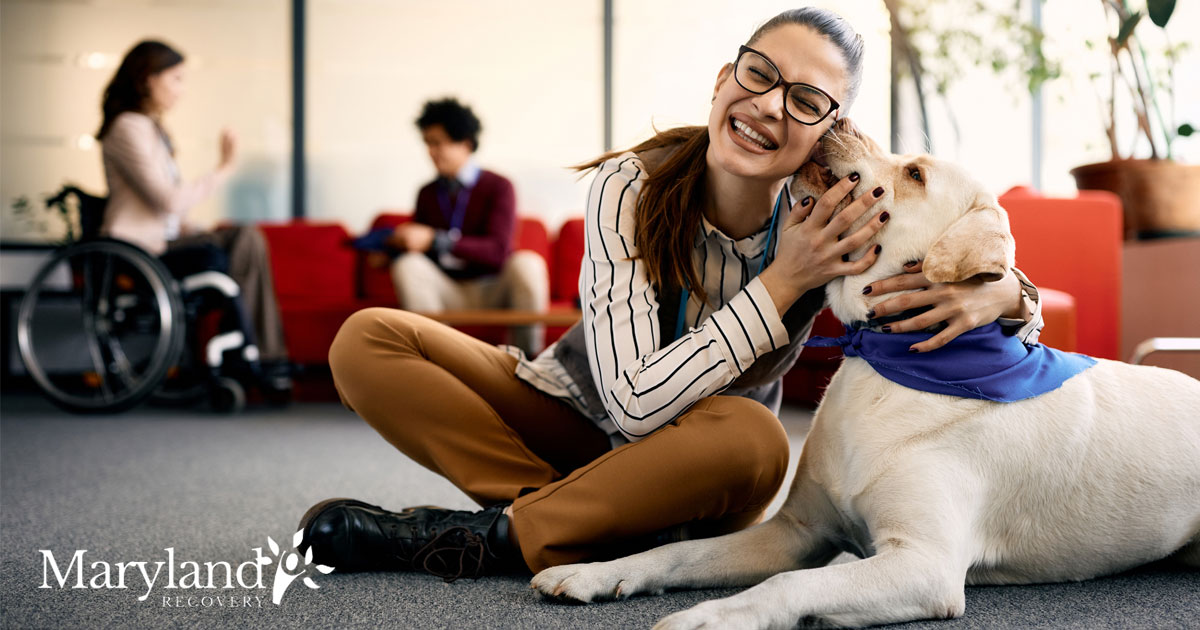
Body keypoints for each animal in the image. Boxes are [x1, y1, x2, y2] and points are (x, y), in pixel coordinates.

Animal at [535, 120, 1200, 624]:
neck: (886, 360)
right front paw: (596, 572)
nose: (838, 119)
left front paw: (710, 617)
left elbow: (787, 586)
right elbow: (682, 555)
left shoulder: (923, 564)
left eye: (916, 174)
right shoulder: (799, 530)